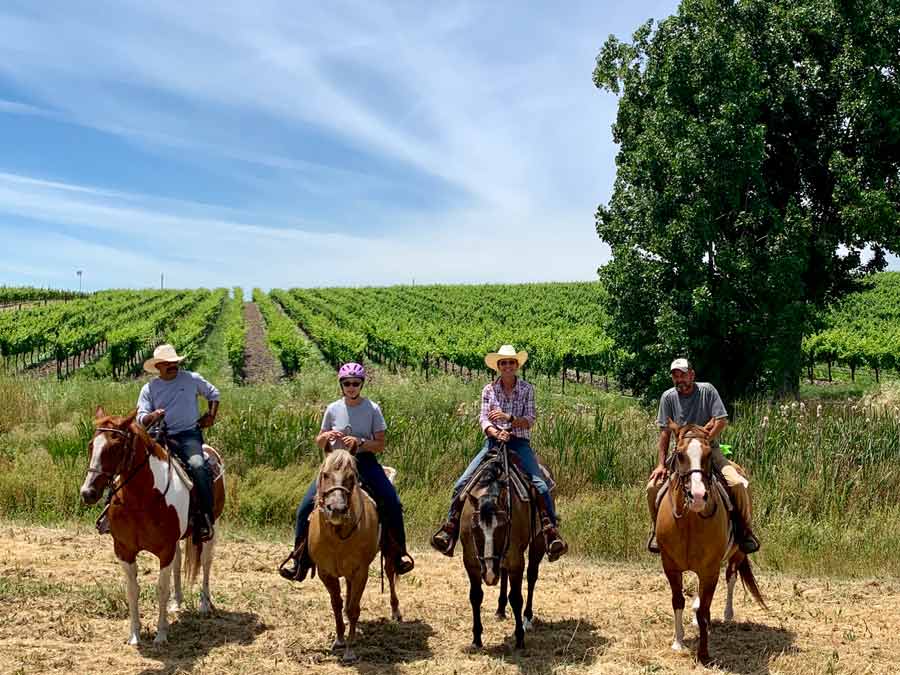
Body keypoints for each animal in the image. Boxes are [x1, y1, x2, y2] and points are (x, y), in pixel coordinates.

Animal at [80, 410, 225, 648]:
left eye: (116, 447)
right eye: (92, 445)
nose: (88, 492)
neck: (142, 499)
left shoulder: (164, 550)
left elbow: (161, 589)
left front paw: (161, 634)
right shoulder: (124, 550)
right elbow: (132, 590)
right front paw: (134, 635)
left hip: (212, 527)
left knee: (206, 562)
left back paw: (204, 603)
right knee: (179, 562)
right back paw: (177, 602)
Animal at [306, 448, 400, 664]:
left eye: (351, 477)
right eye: (325, 474)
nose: (337, 509)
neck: (337, 536)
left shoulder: (360, 572)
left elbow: (353, 608)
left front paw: (350, 650)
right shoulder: (326, 572)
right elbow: (337, 604)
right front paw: (340, 640)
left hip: (389, 552)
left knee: (390, 574)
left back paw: (395, 611)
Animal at [460, 446, 544, 652]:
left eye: (502, 527)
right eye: (475, 528)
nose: (490, 575)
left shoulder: (516, 561)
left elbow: (516, 598)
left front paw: (519, 638)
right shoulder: (471, 561)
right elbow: (476, 596)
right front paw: (476, 639)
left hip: (537, 543)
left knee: (532, 577)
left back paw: (527, 618)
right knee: (504, 573)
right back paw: (499, 609)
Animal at [652, 422, 768, 664]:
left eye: (707, 455)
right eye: (679, 454)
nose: (698, 496)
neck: (689, 521)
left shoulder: (710, 569)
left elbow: (704, 611)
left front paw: (704, 654)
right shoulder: (670, 566)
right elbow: (678, 600)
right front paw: (678, 642)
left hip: (737, 553)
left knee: (731, 577)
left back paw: (728, 614)